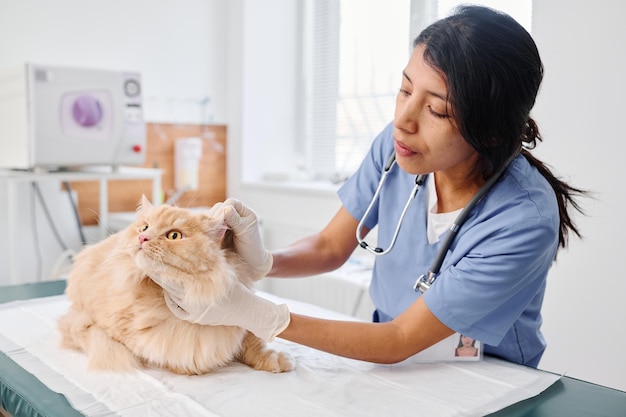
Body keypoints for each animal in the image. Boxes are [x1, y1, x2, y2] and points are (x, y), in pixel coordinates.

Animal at [58, 197, 292, 376]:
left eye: (174, 236)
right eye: (144, 227)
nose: (143, 237)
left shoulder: (240, 324)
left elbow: (254, 342)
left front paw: (275, 359)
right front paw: (186, 368)